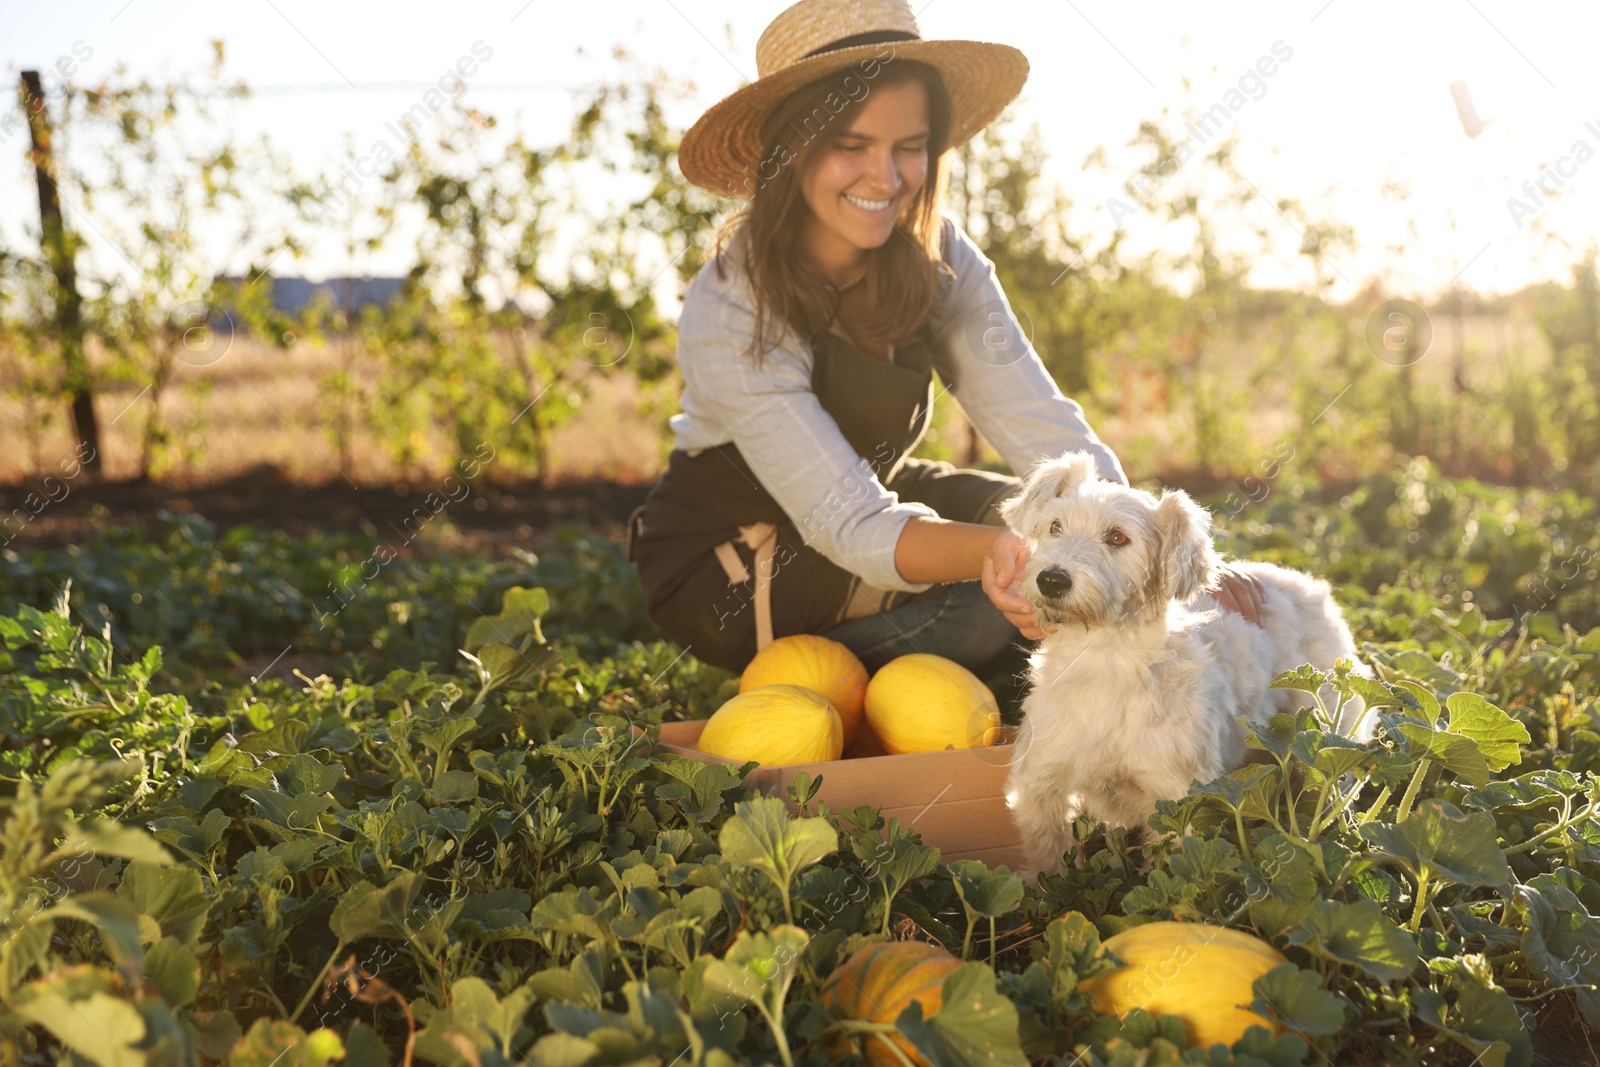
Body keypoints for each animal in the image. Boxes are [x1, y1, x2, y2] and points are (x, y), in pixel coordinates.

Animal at [1004, 451, 1369, 876]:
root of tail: (1312, 586)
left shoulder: (1180, 802)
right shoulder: (1039, 785)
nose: (1051, 579)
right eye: (1055, 526)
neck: (1104, 658)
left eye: (1117, 537)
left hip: (1325, 746)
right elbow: (1047, 861)